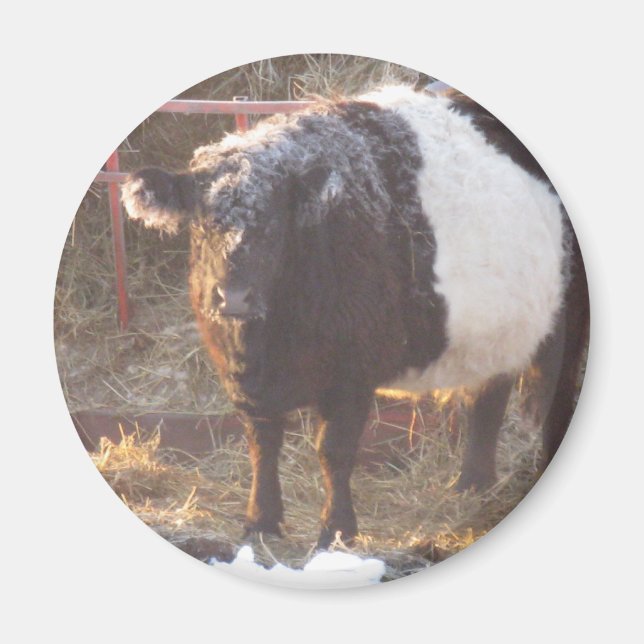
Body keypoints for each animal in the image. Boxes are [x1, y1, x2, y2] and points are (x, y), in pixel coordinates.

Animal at [121, 86, 590, 548]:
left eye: (273, 225)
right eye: (202, 224)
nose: (235, 296)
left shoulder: (351, 377)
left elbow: (334, 450)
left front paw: (336, 530)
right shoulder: (244, 377)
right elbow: (262, 444)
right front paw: (260, 522)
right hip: (498, 330)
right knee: (487, 398)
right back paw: (471, 484)